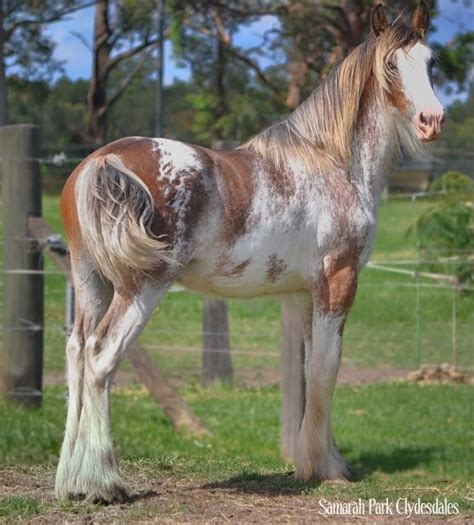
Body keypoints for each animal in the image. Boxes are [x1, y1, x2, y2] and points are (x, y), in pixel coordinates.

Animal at [54, 3, 444, 504]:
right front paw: (330, 469)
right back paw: (105, 484)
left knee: (77, 354)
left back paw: (71, 482)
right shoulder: (339, 280)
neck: (334, 162)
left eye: (431, 61)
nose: (432, 120)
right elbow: (327, 369)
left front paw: (309, 462)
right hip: (142, 288)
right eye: (393, 64)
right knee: (102, 357)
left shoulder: (303, 294)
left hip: (89, 281)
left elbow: (309, 370)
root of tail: (102, 161)